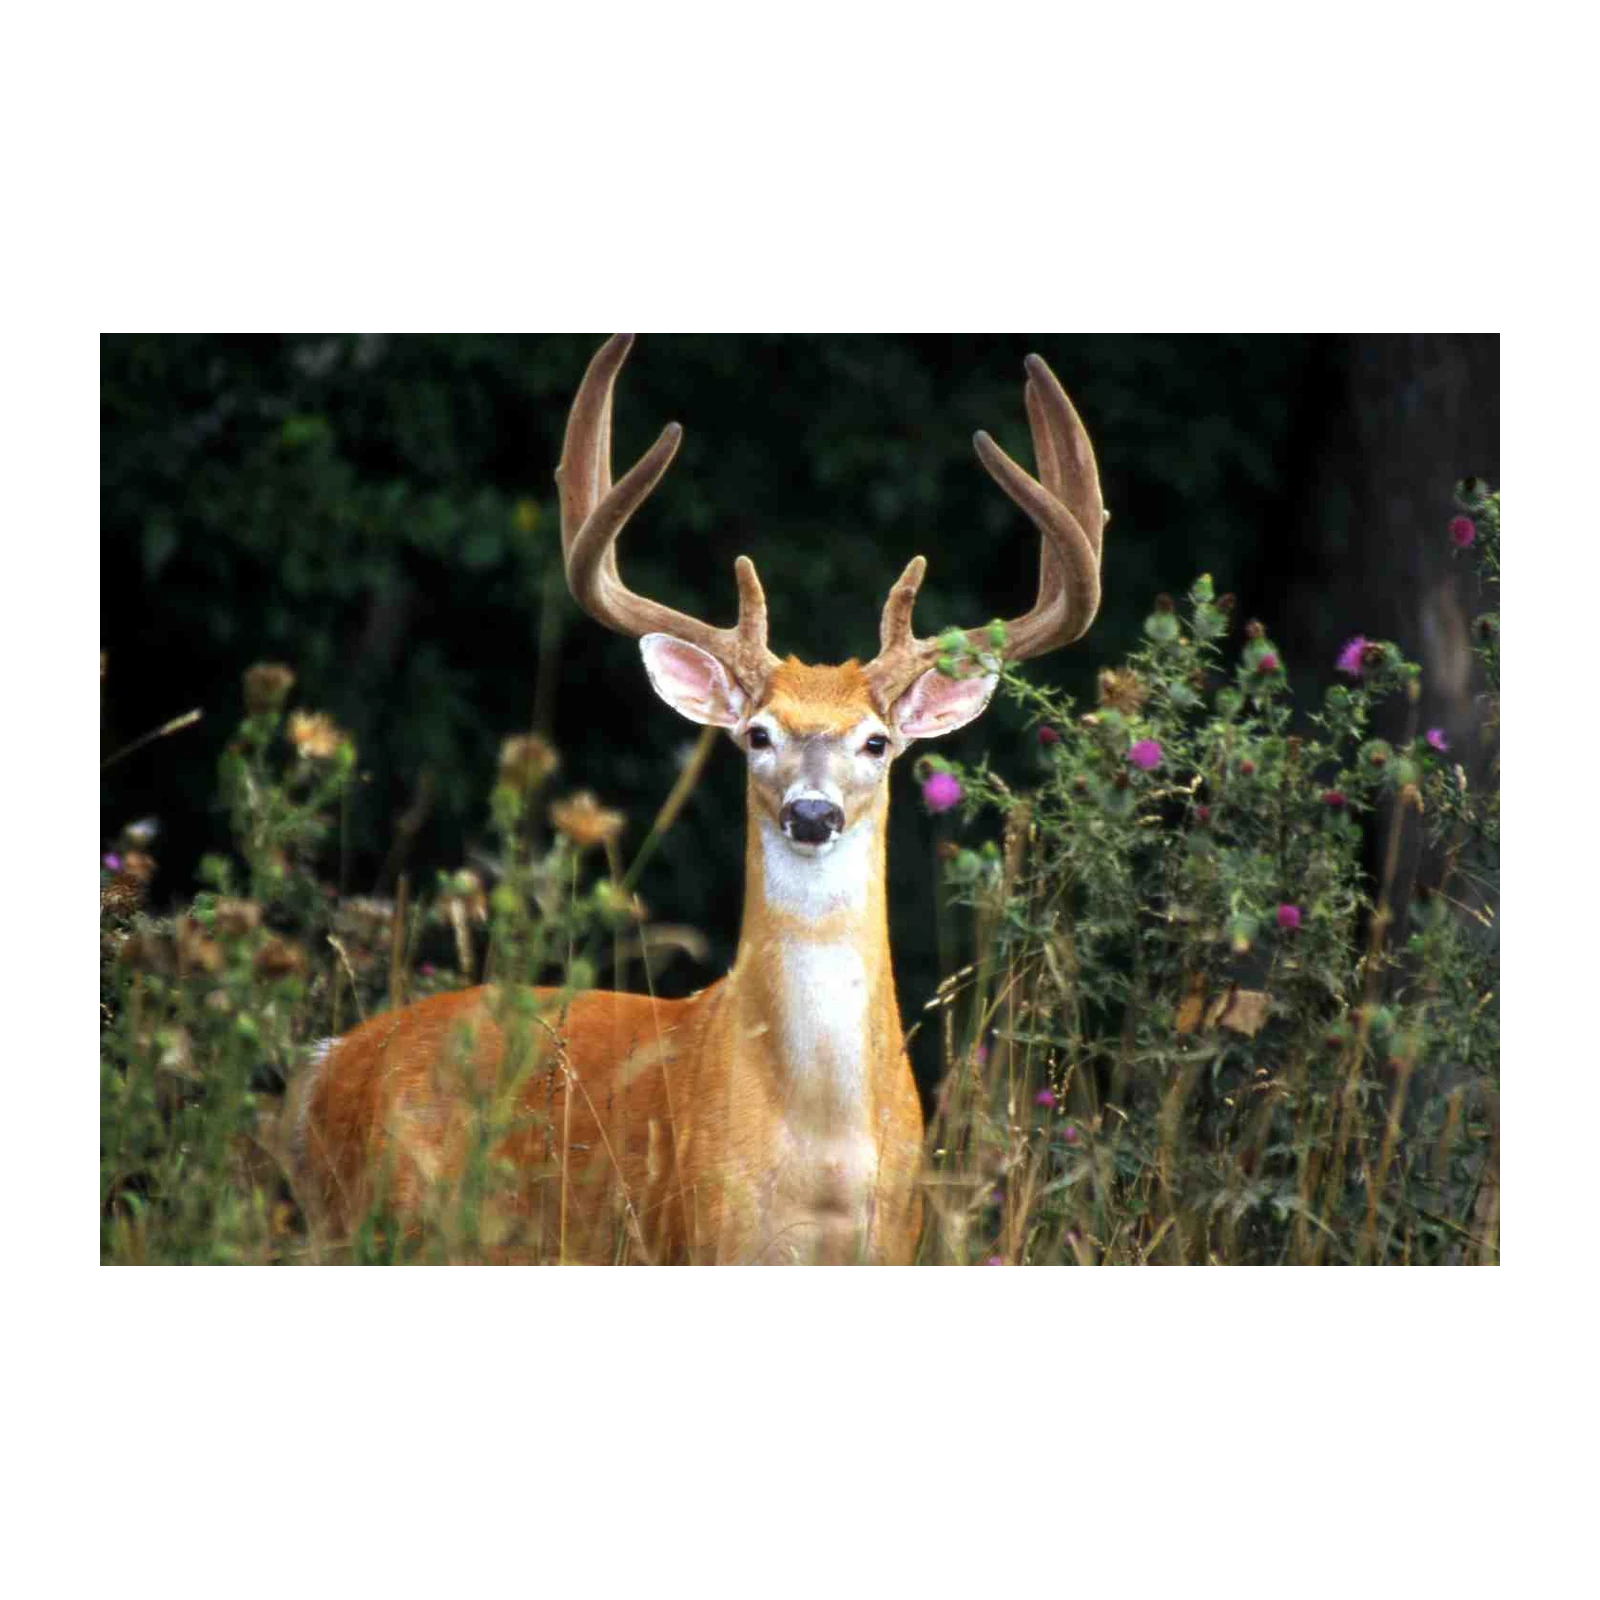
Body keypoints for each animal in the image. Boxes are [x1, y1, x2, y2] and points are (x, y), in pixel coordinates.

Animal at [288, 330, 1106, 1266]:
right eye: (757, 736)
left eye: (877, 742)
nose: (812, 814)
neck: (822, 1154)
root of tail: (321, 1069)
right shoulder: (703, 1232)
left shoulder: (897, 1237)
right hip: (383, 1220)